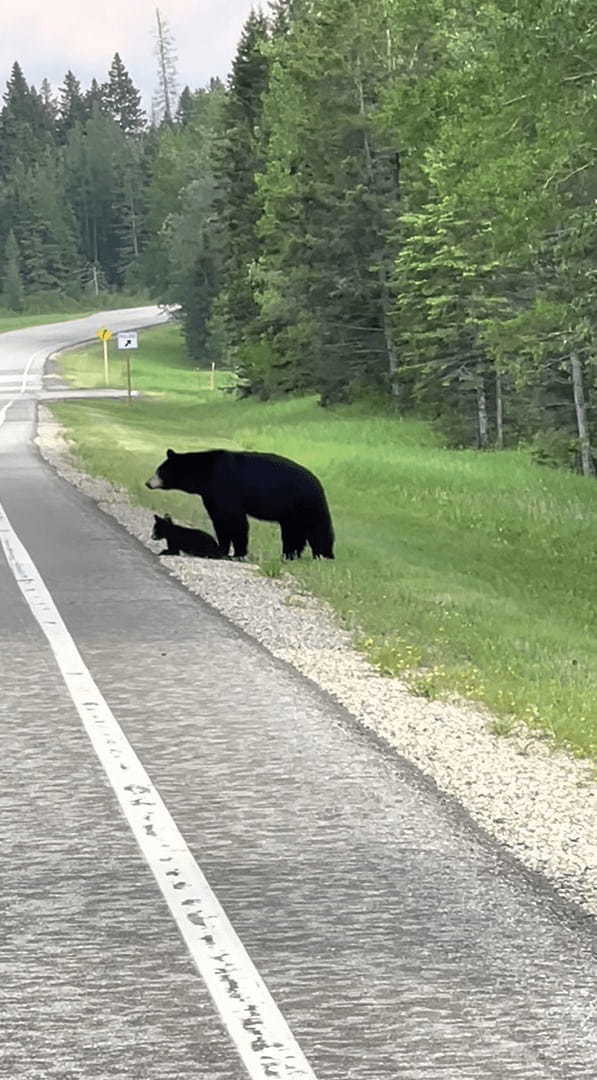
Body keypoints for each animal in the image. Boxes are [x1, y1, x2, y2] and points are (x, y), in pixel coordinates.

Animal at [142, 451, 332, 561]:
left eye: (159, 471)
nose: (147, 483)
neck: (205, 473)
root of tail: (318, 483)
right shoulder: (211, 495)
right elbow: (220, 521)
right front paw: (223, 549)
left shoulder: (226, 488)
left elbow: (234, 520)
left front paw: (238, 552)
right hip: (291, 513)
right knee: (293, 533)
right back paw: (290, 555)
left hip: (306, 503)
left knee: (318, 529)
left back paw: (324, 555)